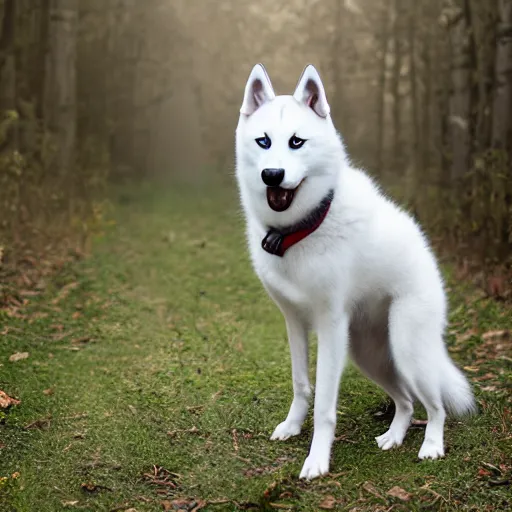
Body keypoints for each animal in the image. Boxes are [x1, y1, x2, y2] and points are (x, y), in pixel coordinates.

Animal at [236, 64, 476, 480]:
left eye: (296, 142)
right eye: (263, 142)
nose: (272, 174)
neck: (300, 230)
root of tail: (429, 259)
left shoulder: (330, 327)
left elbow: (325, 408)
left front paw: (317, 460)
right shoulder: (294, 323)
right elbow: (301, 384)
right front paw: (292, 426)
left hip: (407, 351)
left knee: (434, 406)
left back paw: (431, 446)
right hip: (370, 355)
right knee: (406, 401)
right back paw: (393, 437)